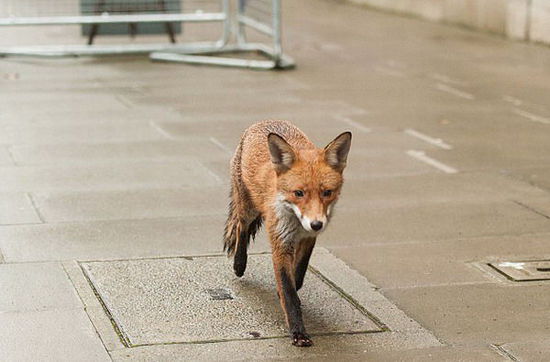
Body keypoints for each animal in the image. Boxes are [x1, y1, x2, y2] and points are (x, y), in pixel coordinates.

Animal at [224, 120, 354, 346]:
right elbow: (288, 291)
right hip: (248, 209)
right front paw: (298, 333)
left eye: (327, 193)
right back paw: (239, 264)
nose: (316, 224)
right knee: (241, 228)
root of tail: (263, 121)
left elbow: (298, 274)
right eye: (298, 193)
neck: (296, 225)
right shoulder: (280, 242)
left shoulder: (308, 239)